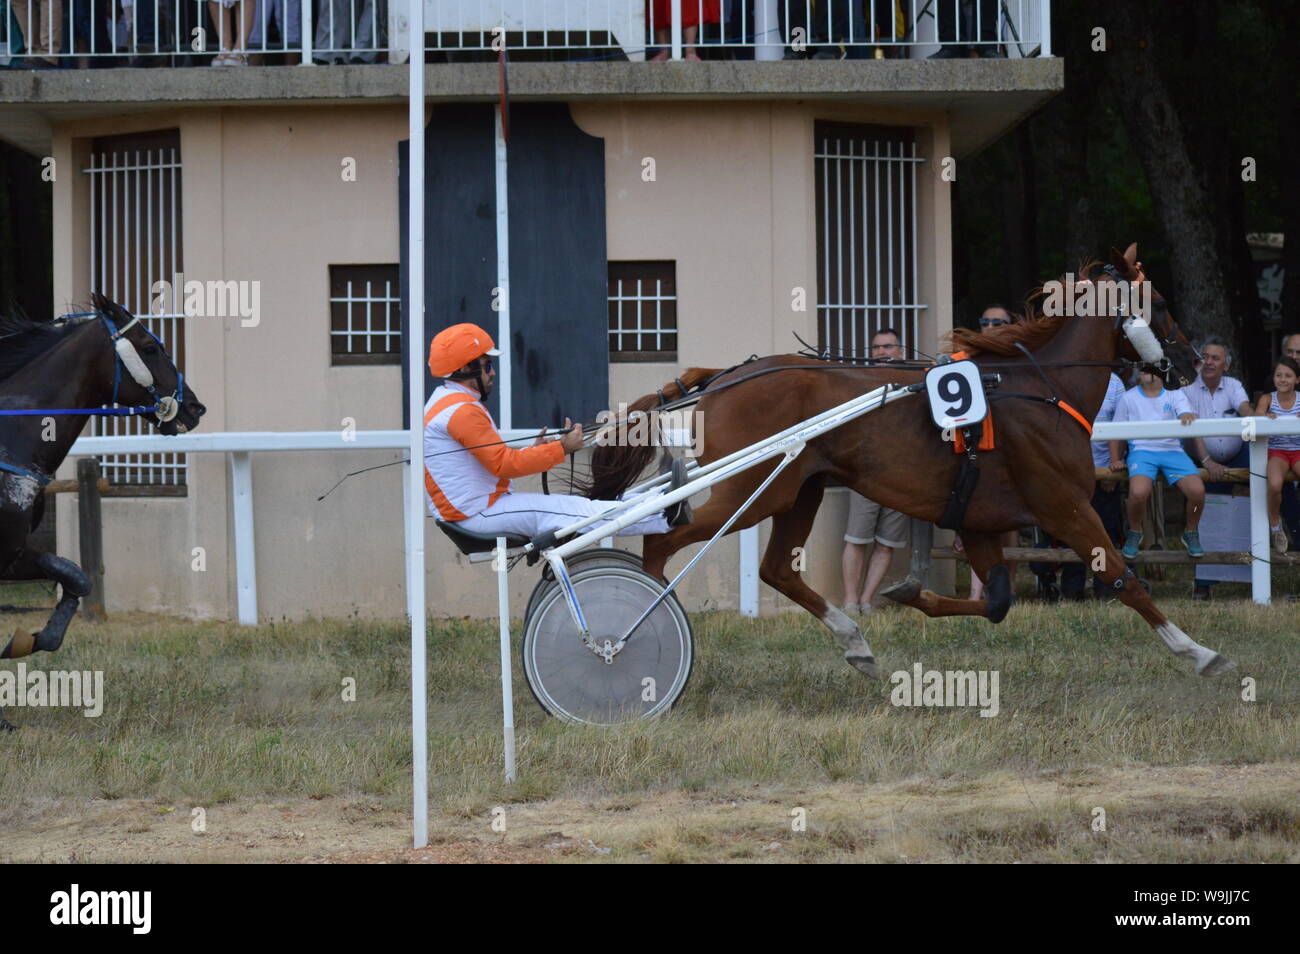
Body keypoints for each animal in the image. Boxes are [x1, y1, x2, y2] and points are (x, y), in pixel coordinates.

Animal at [585, 245, 1237, 678]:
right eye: (1159, 302)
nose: (1186, 360)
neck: (1041, 387)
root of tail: (724, 376)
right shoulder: (1064, 506)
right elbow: (1123, 577)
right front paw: (1199, 652)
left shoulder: (978, 519)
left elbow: (996, 602)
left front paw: (909, 593)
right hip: (754, 491)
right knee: (663, 541)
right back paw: (644, 614)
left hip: (799, 488)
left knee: (776, 570)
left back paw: (855, 641)